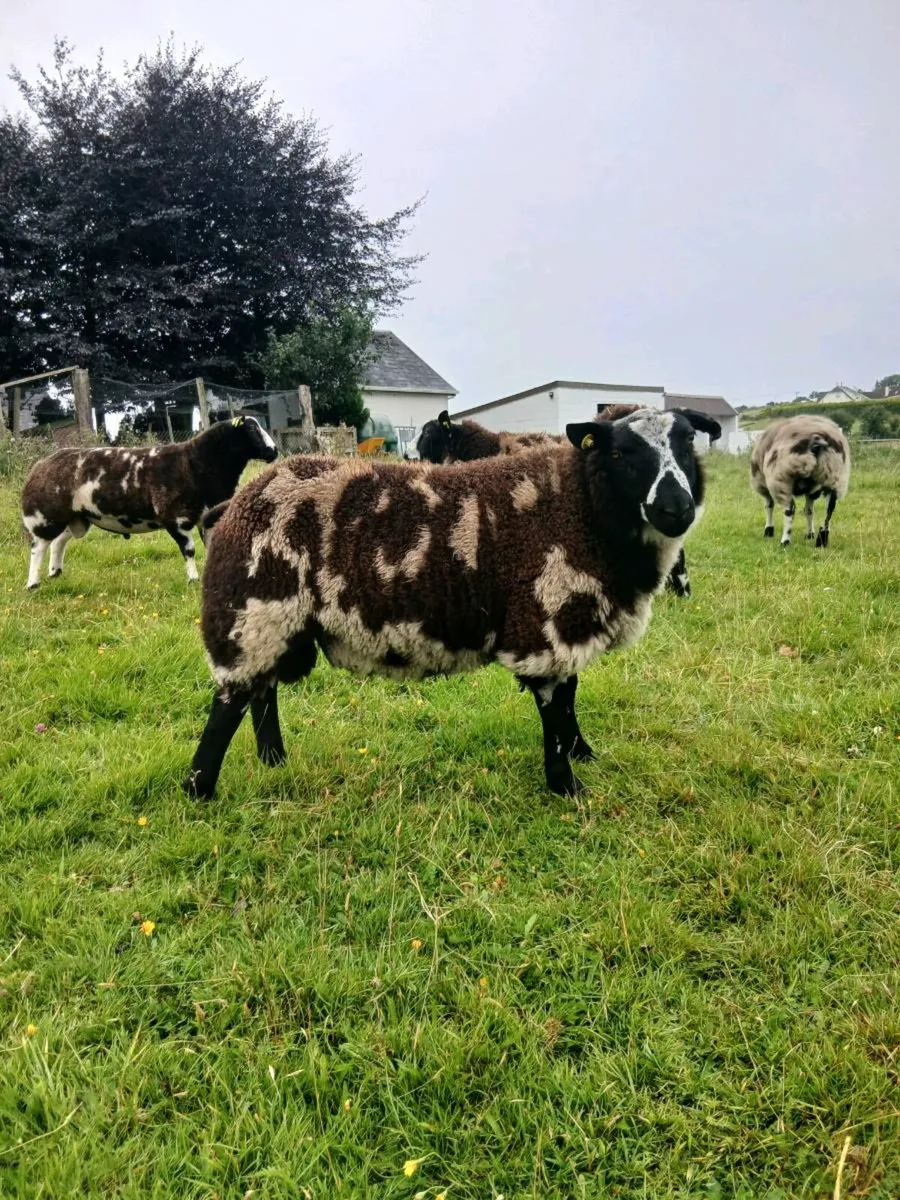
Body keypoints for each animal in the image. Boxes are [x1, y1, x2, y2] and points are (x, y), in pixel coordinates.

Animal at [21, 415, 278, 588]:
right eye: (252, 428)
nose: (274, 451)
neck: (196, 462)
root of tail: (40, 464)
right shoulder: (175, 518)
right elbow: (189, 550)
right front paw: (193, 579)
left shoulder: (208, 517)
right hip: (45, 515)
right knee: (38, 547)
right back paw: (33, 583)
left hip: (76, 516)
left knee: (58, 542)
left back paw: (55, 572)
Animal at [184, 406, 714, 800]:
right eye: (621, 453)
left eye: (688, 442)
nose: (675, 509)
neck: (580, 506)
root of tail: (231, 507)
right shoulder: (544, 622)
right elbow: (556, 711)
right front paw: (567, 785)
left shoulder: (566, 621)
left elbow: (570, 697)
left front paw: (582, 754)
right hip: (253, 611)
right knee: (229, 704)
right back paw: (200, 789)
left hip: (272, 621)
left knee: (262, 692)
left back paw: (274, 762)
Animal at [750, 415, 850, 547]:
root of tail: (816, 442)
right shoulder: (811, 491)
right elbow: (809, 511)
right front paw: (810, 534)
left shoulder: (764, 486)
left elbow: (769, 506)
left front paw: (769, 530)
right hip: (834, 478)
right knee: (829, 509)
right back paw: (822, 540)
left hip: (782, 480)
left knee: (790, 509)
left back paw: (785, 541)